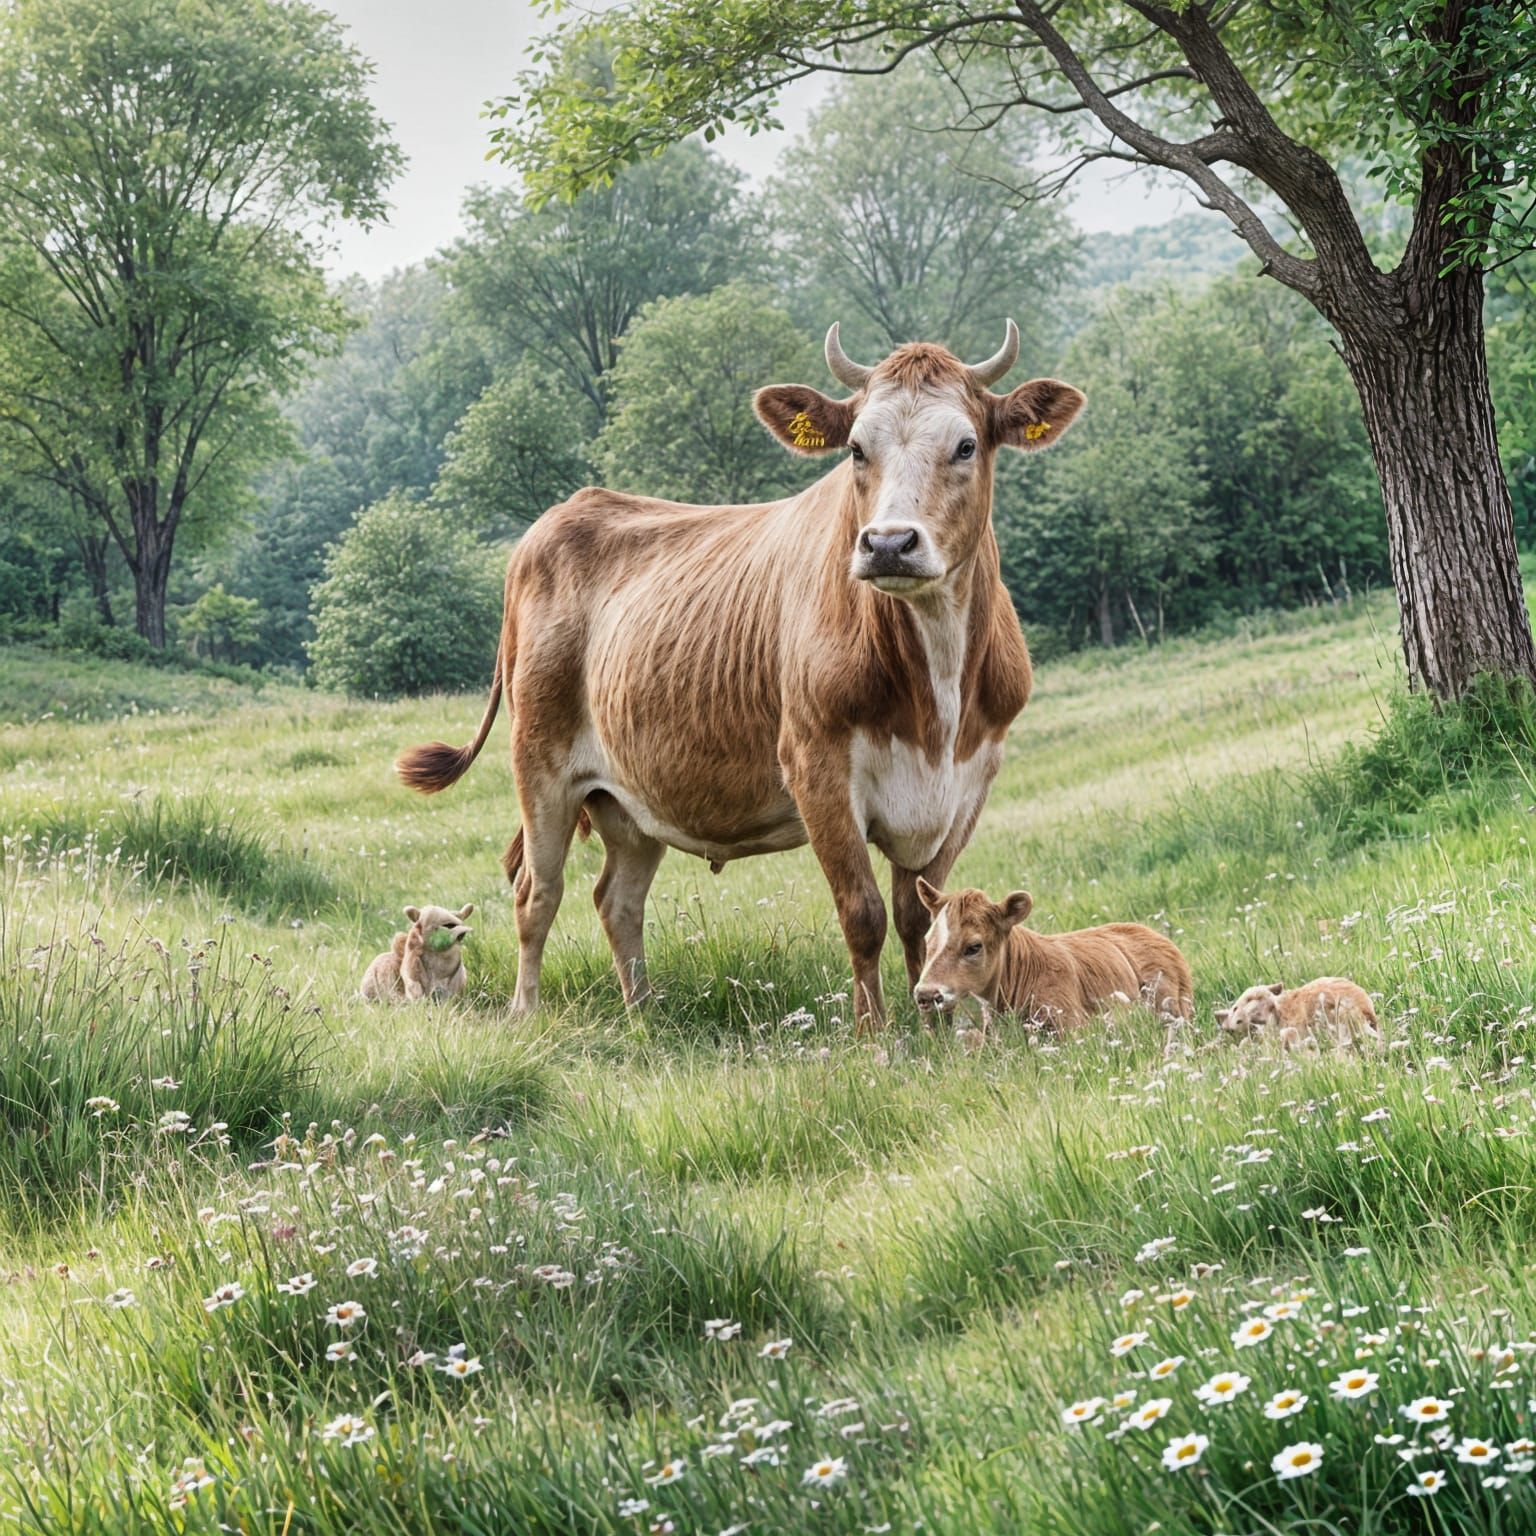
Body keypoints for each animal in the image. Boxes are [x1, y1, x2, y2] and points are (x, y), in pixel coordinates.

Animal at [395, 321, 1085, 1030]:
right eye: (856, 449)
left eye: (966, 445)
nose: (889, 543)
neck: (935, 695)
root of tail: (561, 516)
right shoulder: (815, 766)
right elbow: (863, 915)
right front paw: (877, 1036)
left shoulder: (969, 780)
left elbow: (923, 917)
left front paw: (937, 1030)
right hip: (540, 760)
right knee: (538, 891)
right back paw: (526, 1010)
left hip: (628, 794)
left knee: (617, 898)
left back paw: (643, 1013)